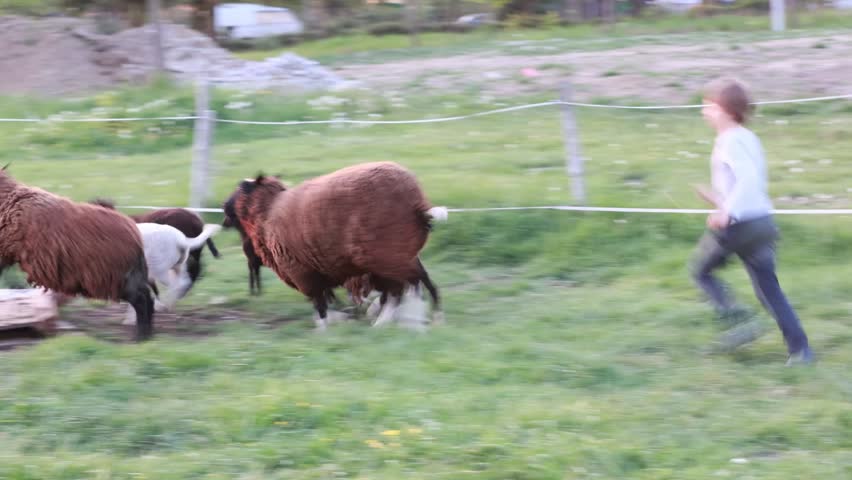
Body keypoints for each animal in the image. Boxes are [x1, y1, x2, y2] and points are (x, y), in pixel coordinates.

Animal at [0, 168, 154, 340]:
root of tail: (134, 232)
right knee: (146, 295)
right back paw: (147, 335)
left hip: (113, 277)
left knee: (141, 299)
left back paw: (141, 337)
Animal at [221, 161, 447, 330]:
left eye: (240, 190)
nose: (224, 210)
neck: (266, 212)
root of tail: (418, 204)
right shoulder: (319, 270)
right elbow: (326, 299)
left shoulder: (302, 271)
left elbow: (319, 303)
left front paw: (324, 329)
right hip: (399, 253)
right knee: (417, 281)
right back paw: (427, 316)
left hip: (386, 255)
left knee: (405, 286)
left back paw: (398, 321)